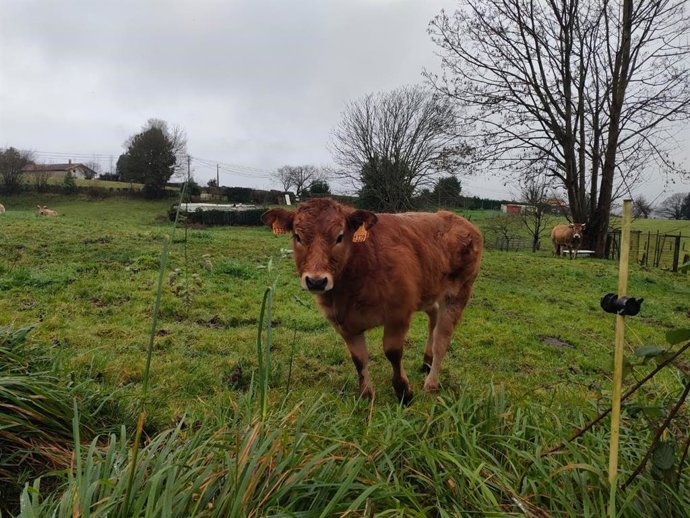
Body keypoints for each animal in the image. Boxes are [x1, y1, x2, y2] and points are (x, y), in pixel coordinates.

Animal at [262, 198, 483, 404]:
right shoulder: (343, 323)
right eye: (297, 236)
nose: (316, 281)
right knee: (433, 319)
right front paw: (366, 394)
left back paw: (431, 383)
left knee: (442, 340)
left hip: (459, 292)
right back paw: (426, 362)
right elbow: (359, 359)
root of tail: (456, 218)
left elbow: (393, 352)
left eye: (340, 236)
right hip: (431, 291)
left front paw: (403, 392)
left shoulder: (399, 313)